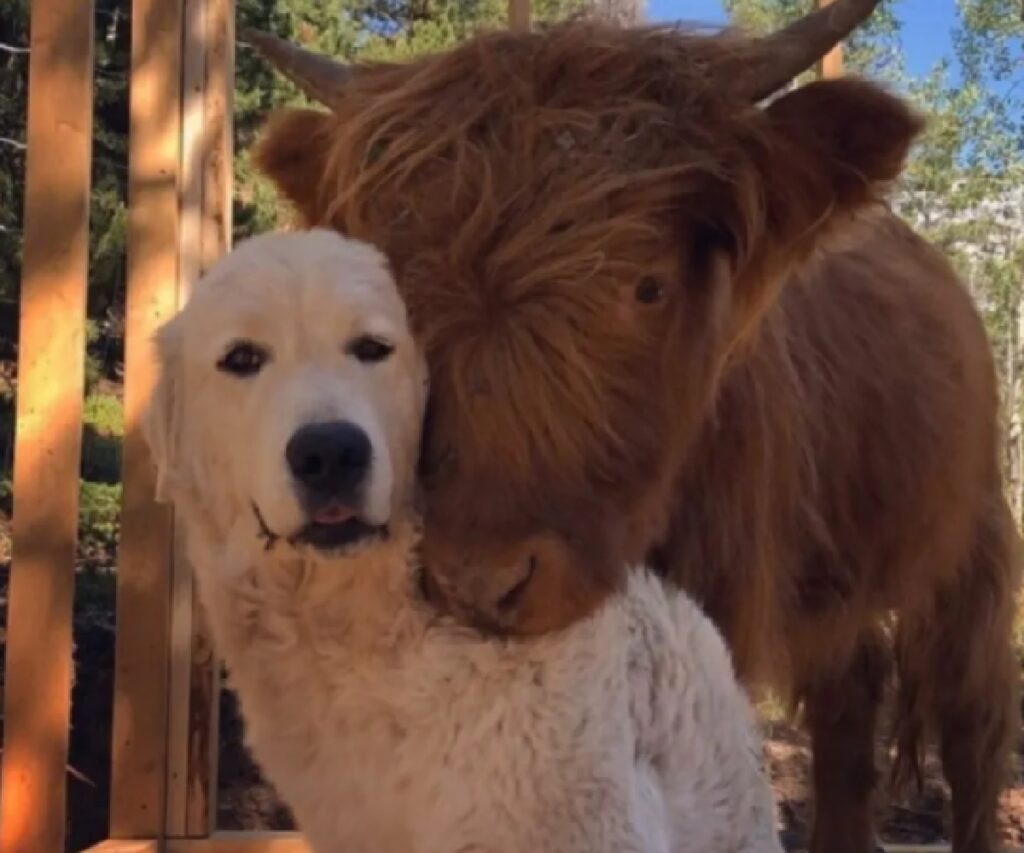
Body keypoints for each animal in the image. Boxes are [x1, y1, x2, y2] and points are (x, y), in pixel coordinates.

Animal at [245, 3, 1015, 847]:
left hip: (971, 543)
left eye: (647, 286)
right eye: (396, 304)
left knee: (972, 721)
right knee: (850, 703)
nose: (480, 582)